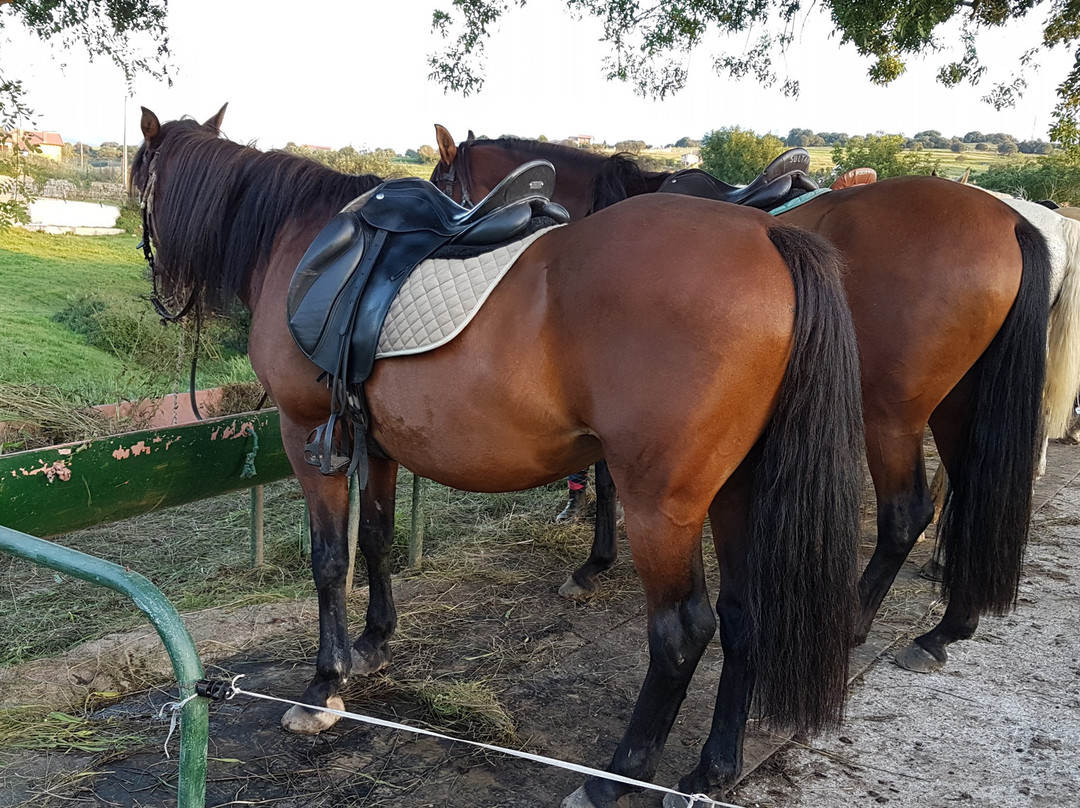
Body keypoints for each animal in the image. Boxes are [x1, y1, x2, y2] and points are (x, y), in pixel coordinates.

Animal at [135, 105, 864, 803]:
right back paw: (712, 770)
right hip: (738, 490)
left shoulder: (306, 434)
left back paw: (616, 777)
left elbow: (329, 560)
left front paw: (324, 685)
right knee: (744, 615)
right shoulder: (378, 443)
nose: (161, 295)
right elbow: (376, 539)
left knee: (681, 632)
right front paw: (373, 643)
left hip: (663, 506)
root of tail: (769, 238)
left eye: (141, 179)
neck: (298, 239)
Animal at [429, 129, 1080, 678]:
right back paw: (947, 628)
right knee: (977, 489)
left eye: (443, 183)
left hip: (891, 415)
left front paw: (593, 565)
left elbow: (610, 479)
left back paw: (856, 622)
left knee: (907, 514)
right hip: (959, 405)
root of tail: (1012, 222)